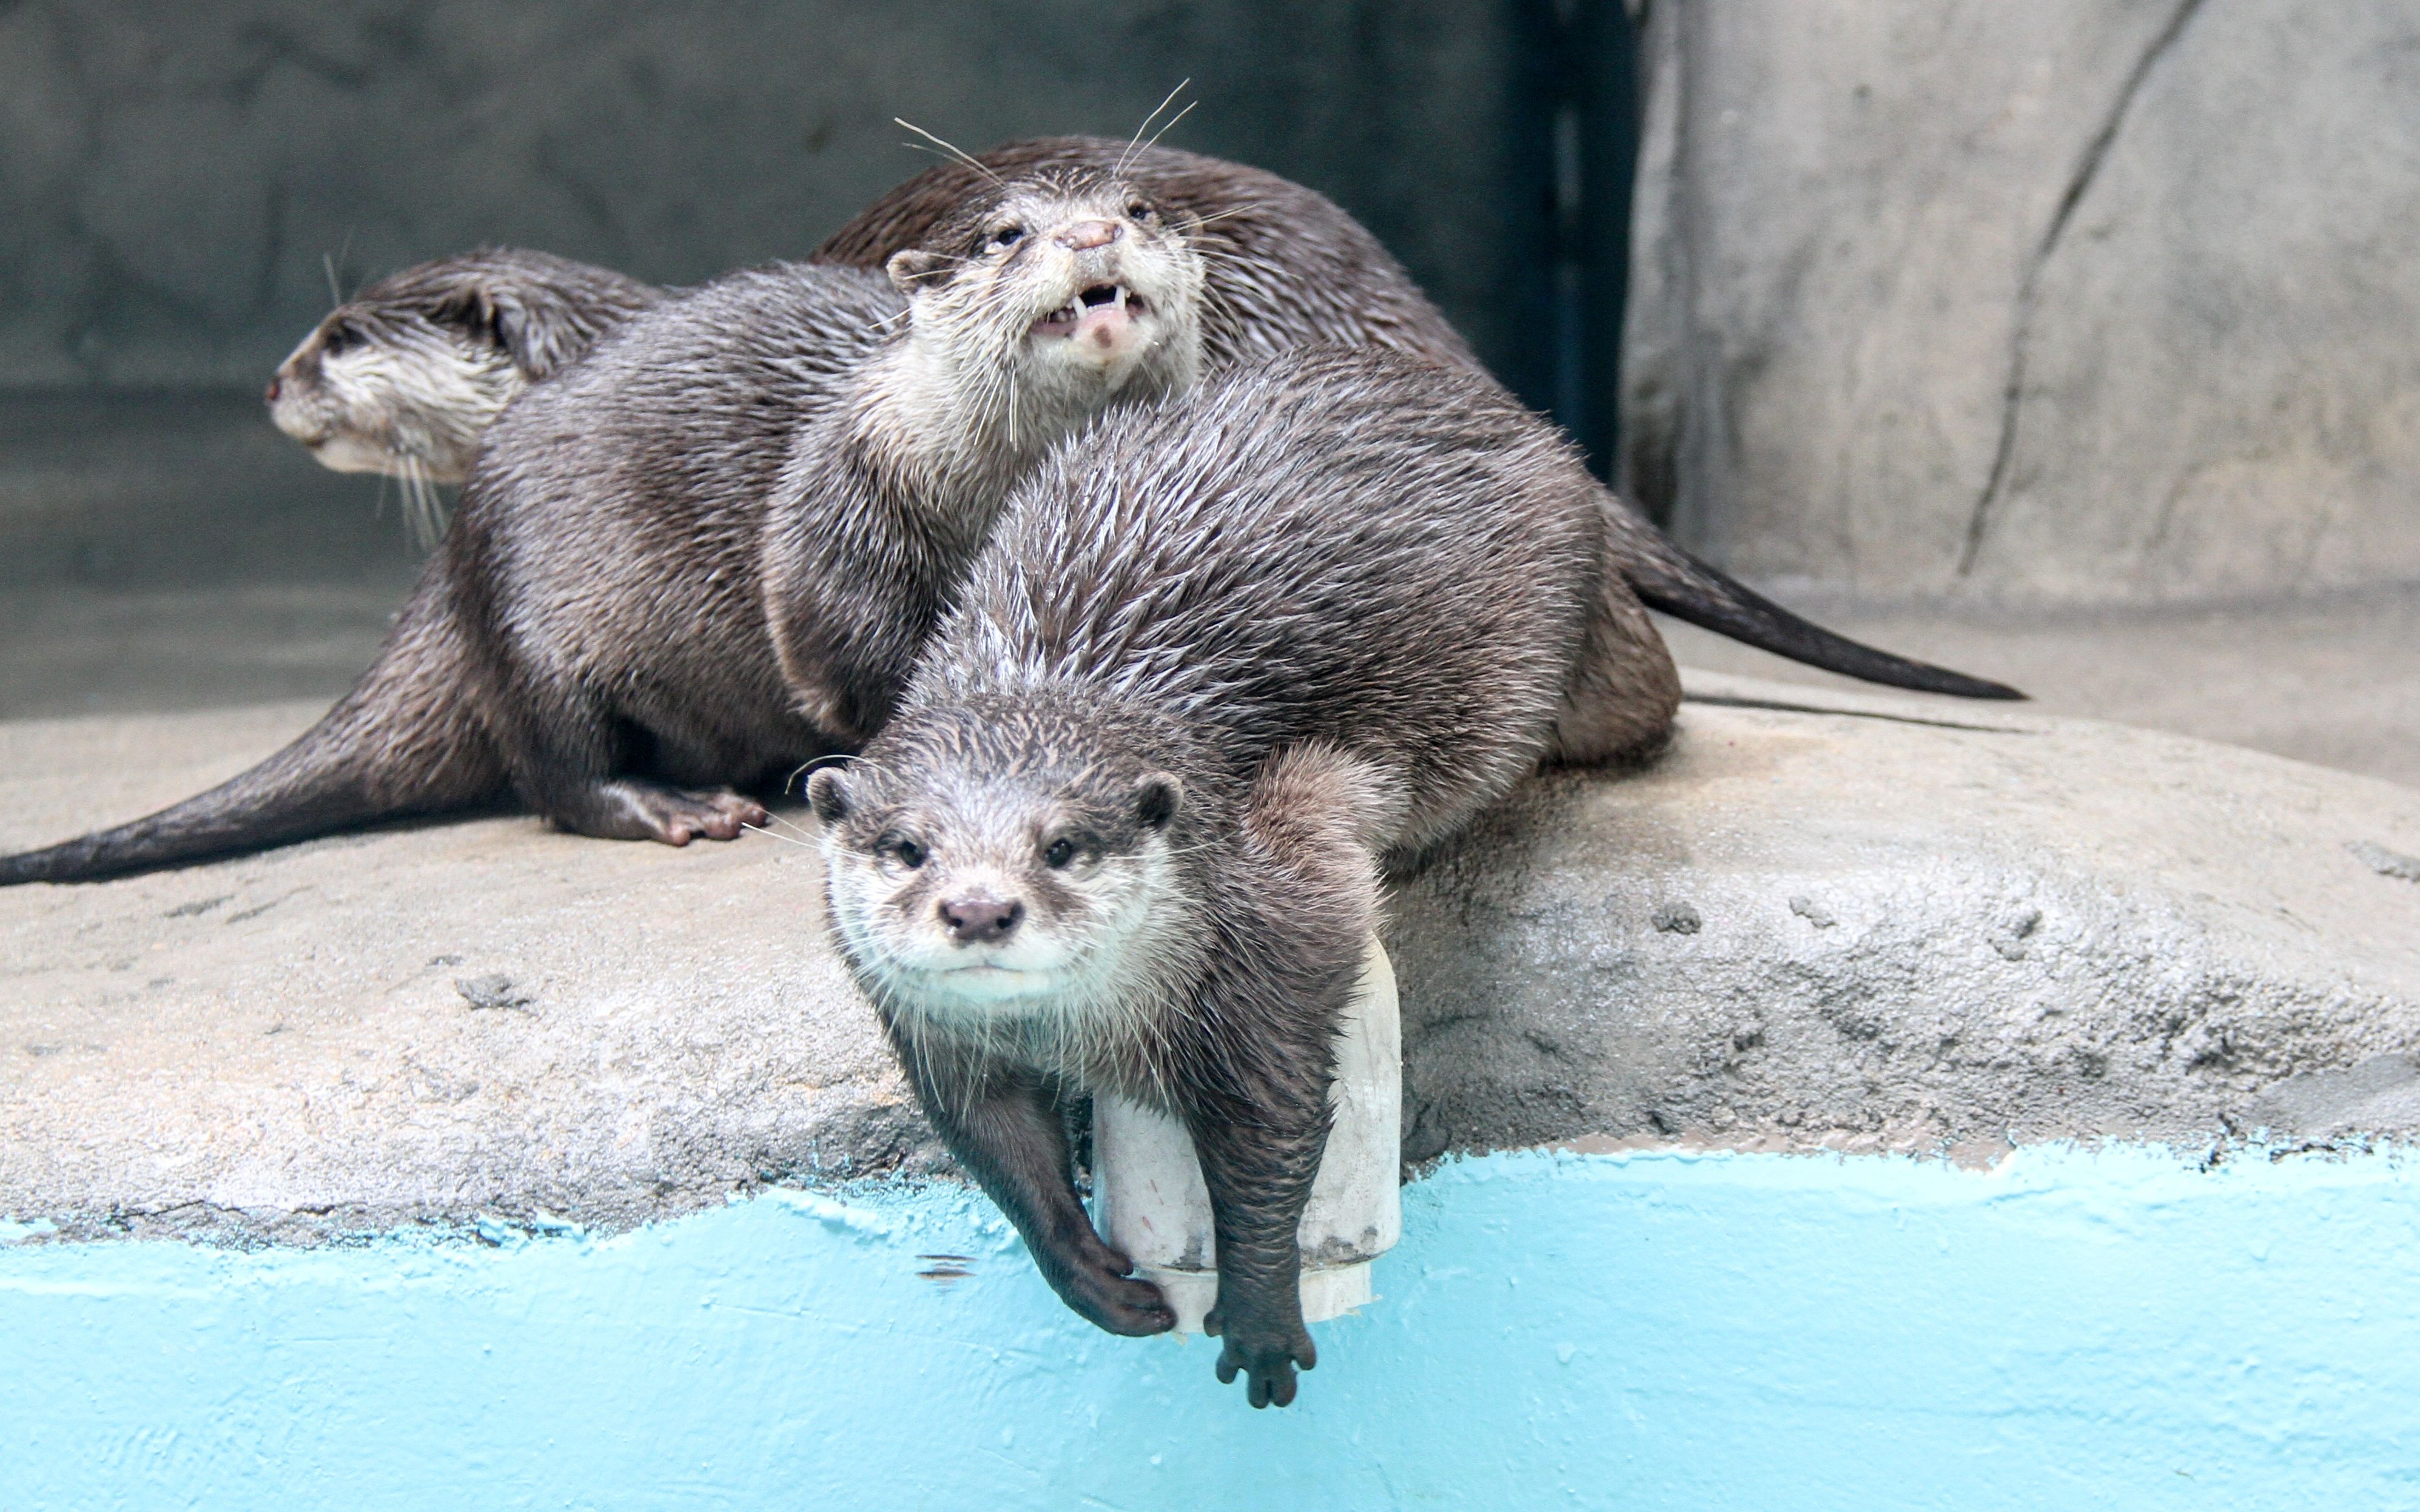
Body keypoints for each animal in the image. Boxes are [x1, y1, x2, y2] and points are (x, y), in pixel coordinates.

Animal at [813, 341, 1665, 1403]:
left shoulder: (1270, 925)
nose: (977, 910)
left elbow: (1272, 1130)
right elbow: (998, 1146)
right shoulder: (931, 1032)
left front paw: (1261, 1313)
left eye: (1062, 846)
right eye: (908, 847)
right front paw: (1087, 1275)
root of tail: (1533, 432)